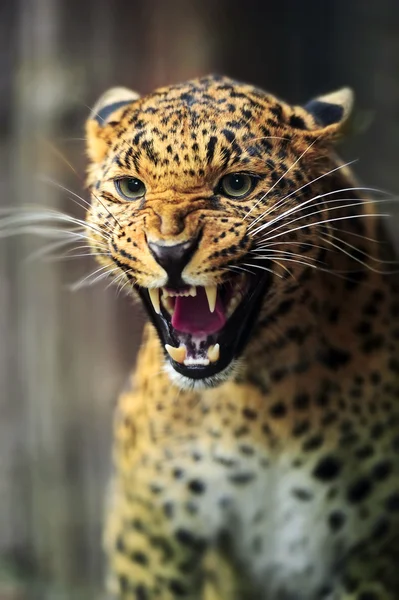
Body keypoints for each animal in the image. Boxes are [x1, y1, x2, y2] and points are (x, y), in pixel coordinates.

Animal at [83, 76, 399, 600]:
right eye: (131, 188)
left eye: (236, 185)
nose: (169, 252)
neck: (262, 403)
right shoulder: (148, 531)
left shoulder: (375, 543)